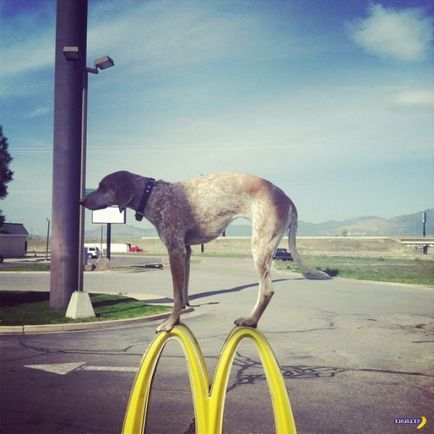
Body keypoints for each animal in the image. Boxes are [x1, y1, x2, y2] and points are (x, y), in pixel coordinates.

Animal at [80, 170, 328, 332]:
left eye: (103, 186)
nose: (81, 201)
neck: (152, 194)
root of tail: (287, 198)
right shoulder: (186, 251)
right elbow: (183, 291)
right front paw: (182, 313)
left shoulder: (175, 249)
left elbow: (176, 295)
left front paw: (169, 323)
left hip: (260, 244)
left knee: (267, 290)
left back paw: (250, 320)